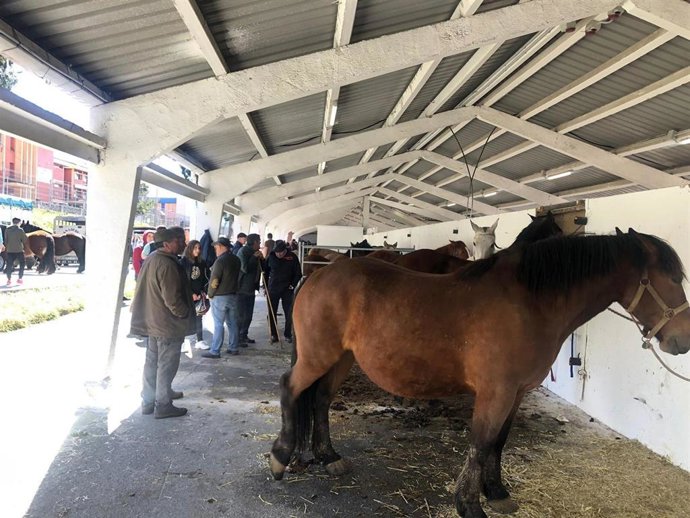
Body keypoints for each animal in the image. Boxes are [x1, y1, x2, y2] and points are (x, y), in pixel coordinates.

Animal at [270, 228, 690, 518]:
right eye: (672, 278)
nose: (681, 340)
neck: (529, 302)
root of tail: (317, 275)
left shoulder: (517, 392)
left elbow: (498, 442)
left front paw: (497, 492)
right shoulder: (495, 391)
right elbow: (480, 442)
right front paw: (470, 505)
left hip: (341, 358)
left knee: (321, 399)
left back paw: (328, 456)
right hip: (318, 356)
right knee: (291, 389)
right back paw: (281, 457)